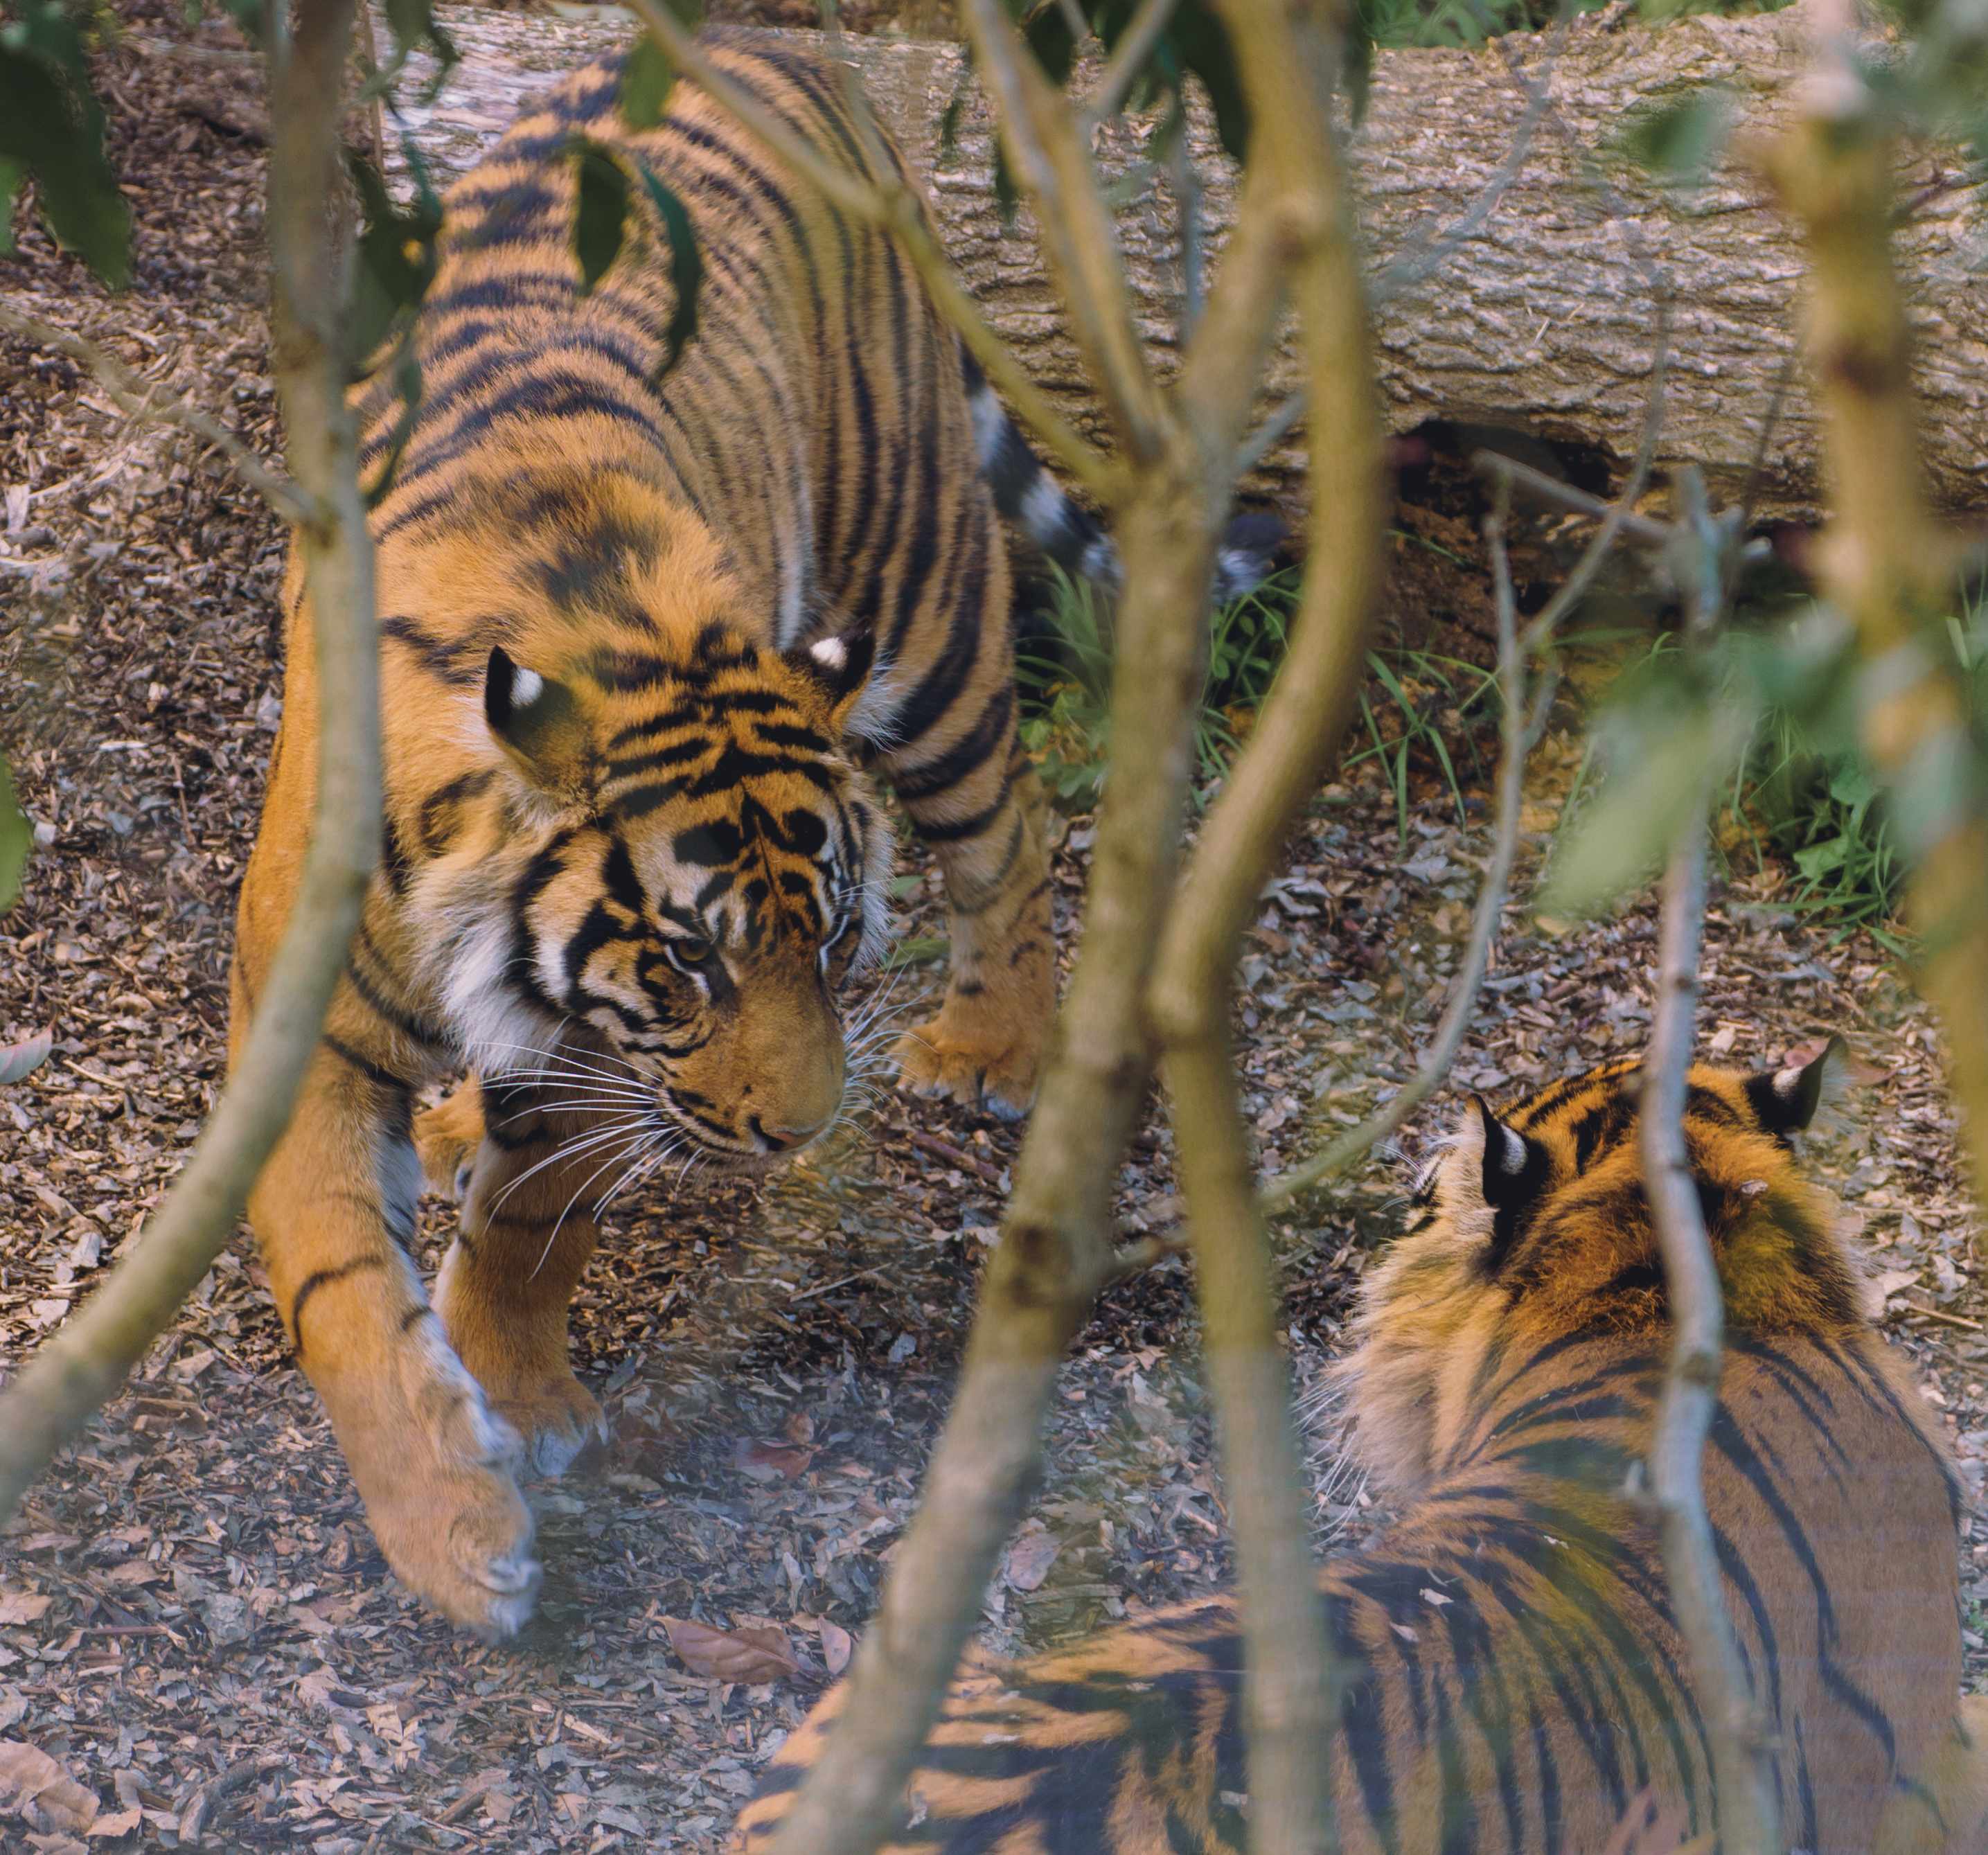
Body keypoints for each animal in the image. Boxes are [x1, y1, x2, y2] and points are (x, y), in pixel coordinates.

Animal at [228, 32, 1280, 1638]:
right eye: (687, 966)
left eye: (834, 941)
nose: (800, 1132)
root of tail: (765, 36)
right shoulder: (317, 1023)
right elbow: (343, 1282)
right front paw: (454, 1531)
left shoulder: (586, 1051)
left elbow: (537, 1219)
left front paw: (517, 1406)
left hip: (919, 604)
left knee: (1010, 821)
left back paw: (994, 1047)